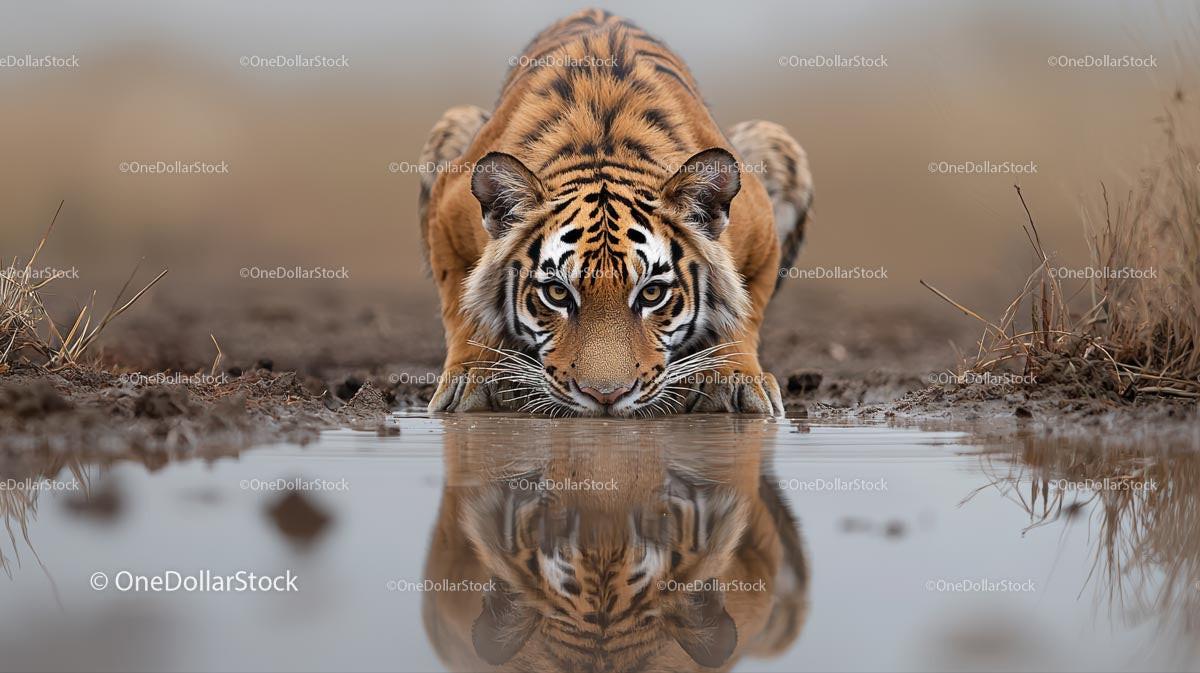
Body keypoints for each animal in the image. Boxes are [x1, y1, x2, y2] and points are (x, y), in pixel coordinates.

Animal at [418, 8, 813, 416]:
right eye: (557, 293)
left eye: (652, 293)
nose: (605, 395)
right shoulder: (447, 217)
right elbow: (465, 309)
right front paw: (473, 377)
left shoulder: (762, 238)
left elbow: (742, 311)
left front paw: (732, 379)